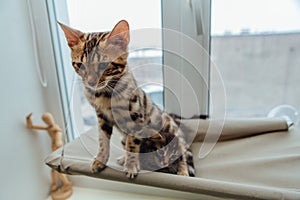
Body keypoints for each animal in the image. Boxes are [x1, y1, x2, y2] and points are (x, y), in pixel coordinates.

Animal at [59, 20, 195, 179]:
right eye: (80, 65)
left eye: (104, 65)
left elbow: (133, 142)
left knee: (181, 154)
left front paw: (131, 165)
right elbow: (103, 140)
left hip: (170, 131)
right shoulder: (102, 116)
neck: (104, 94)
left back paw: (183, 171)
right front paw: (101, 159)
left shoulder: (136, 115)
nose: (91, 82)